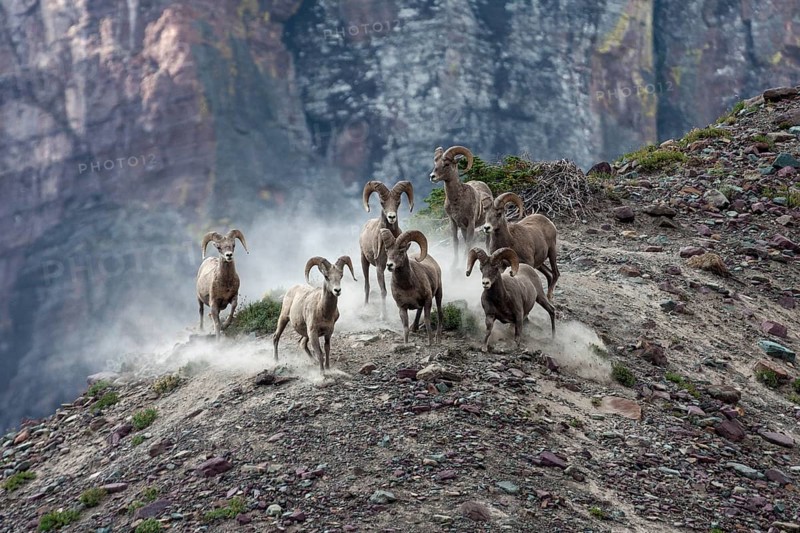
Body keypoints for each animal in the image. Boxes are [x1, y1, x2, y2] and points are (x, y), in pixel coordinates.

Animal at [359, 180, 414, 318]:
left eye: (398, 202)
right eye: (382, 202)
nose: (391, 217)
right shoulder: (380, 267)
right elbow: (383, 291)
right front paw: (383, 316)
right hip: (364, 261)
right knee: (367, 285)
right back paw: (365, 307)